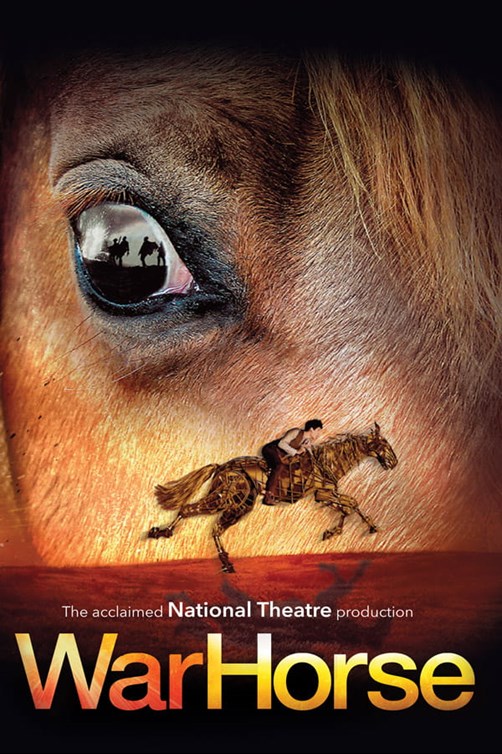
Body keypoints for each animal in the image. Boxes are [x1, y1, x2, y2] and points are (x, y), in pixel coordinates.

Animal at [147, 424, 398, 572]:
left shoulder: (324, 495)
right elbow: (352, 503)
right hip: (233, 501)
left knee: (204, 520)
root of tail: (221, 467)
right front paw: (367, 528)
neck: (329, 461)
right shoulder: (322, 493)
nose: (394, 463)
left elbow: (347, 507)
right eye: (383, 444)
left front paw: (334, 532)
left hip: (236, 502)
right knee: (194, 513)